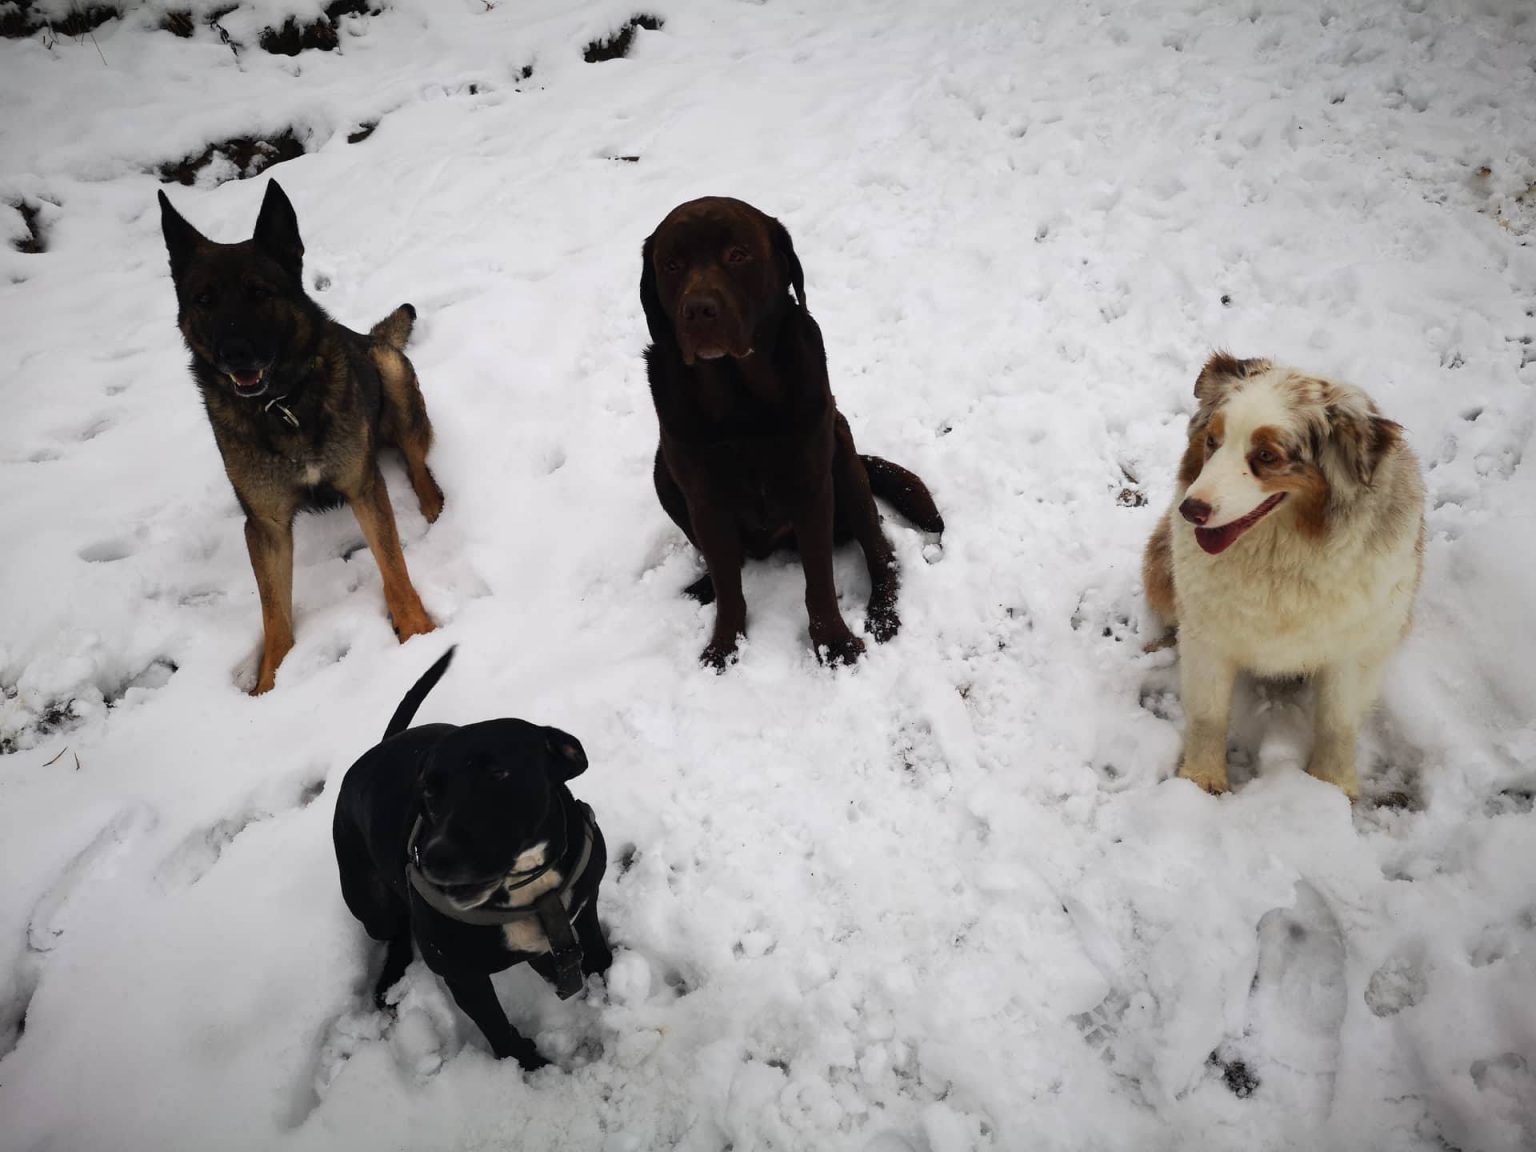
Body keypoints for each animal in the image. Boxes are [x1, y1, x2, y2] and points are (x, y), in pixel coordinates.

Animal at [162, 175, 445, 691]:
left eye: (259, 292)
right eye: (203, 300)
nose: (234, 353)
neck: (282, 406)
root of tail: (372, 337)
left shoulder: (363, 487)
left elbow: (394, 568)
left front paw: (418, 634)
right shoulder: (266, 525)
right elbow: (275, 613)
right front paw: (269, 685)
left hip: (389, 371)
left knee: (416, 459)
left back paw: (432, 502)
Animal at [334, 651, 611, 1075]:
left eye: (498, 773)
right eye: (428, 790)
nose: (435, 857)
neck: (527, 885)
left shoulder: (585, 900)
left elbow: (594, 943)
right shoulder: (463, 976)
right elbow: (496, 1025)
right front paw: (527, 1066)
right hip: (371, 904)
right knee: (395, 929)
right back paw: (390, 979)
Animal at [638, 198, 946, 666]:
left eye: (738, 254)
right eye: (671, 264)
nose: (698, 310)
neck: (740, 405)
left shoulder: (812, 487)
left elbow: (818, 581)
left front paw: (835, 645)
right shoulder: (705, 500)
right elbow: (729, 586)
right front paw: (724, 647)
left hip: (843, 457)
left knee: (881, 552)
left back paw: (881, 614)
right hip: (663, 475)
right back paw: (702, 585)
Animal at [1148, 354, 1419, 804]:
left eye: (1266, 455)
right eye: (1212, 441)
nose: (1190, 509)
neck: (1279, 558)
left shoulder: (1356, 647)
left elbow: (1337, 723)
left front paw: (1330, 786)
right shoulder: (1207, 636)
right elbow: (1207, 715)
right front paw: (1201, 781)